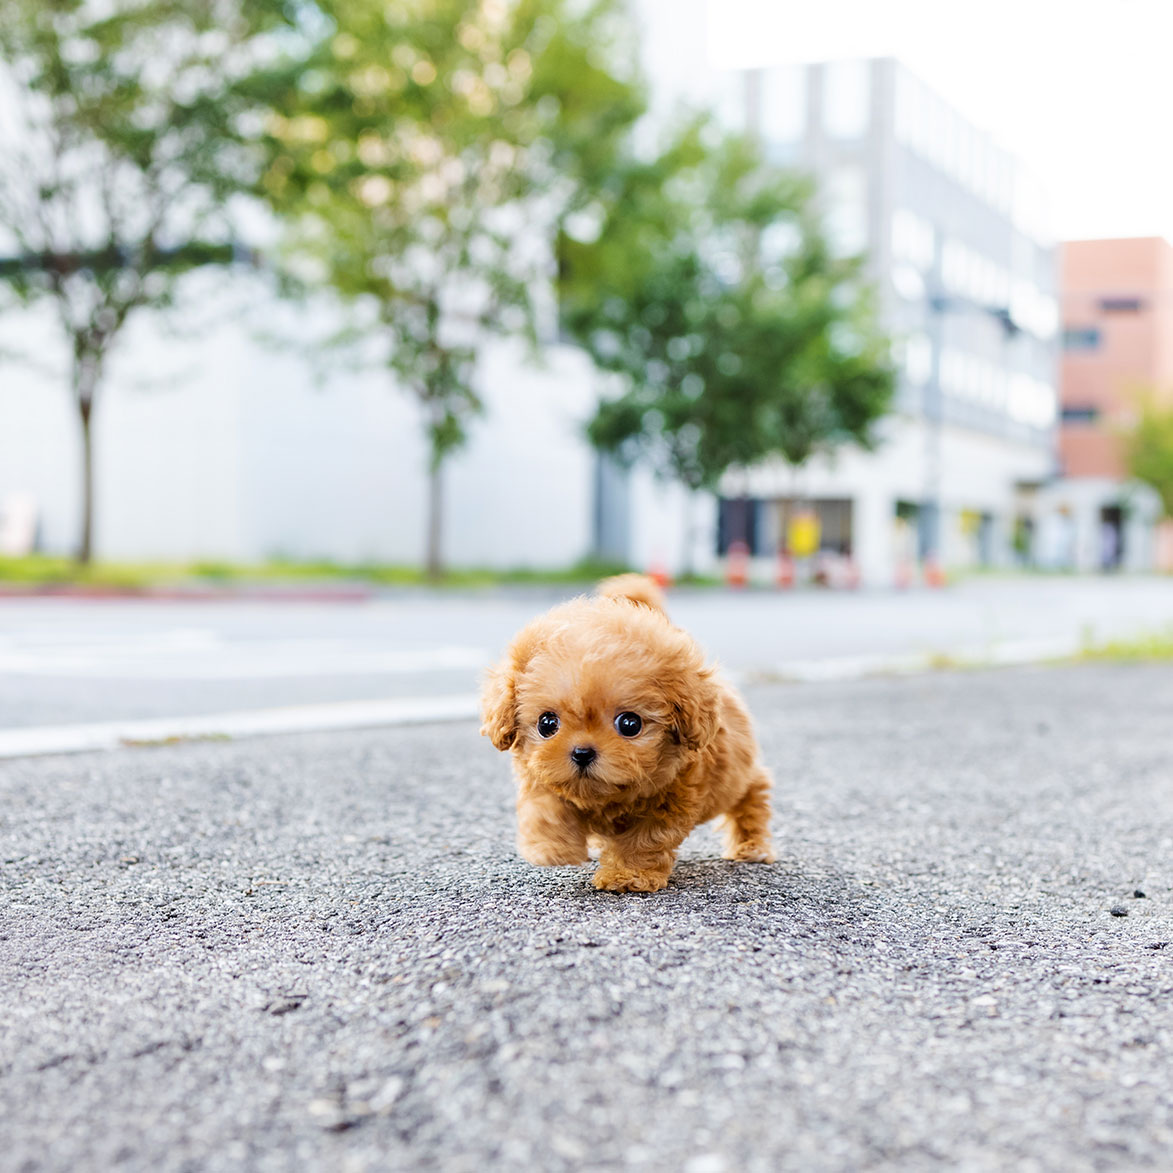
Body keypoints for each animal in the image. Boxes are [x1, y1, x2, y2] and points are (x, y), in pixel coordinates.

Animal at [480, 574, 774, 886]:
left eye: (630, 724)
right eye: (547, 724)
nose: (582, 753)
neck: (606, 797)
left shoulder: (672, 799)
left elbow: (644, 840)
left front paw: (627, 876)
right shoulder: (541, 775)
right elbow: (546, 808)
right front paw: (553, 849)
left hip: (733, 777)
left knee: (752, 794)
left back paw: (752, 846)